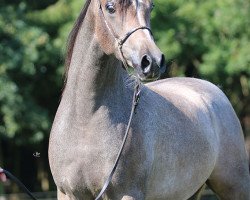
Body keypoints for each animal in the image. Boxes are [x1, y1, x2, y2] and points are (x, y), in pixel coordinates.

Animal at [48, 0, 250, 198]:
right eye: (110, 7)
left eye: (150, 6)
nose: (152, 62)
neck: (85, 121)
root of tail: (215, 91)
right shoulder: (67, 193)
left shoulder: (127, 193)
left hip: (235, 186)